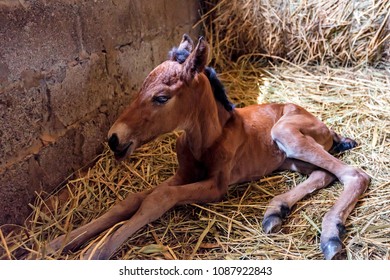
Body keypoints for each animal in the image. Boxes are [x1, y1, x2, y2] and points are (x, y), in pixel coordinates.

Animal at [47, 35, 370, 260]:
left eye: (162, 97)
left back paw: (330, 237)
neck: (206, 140)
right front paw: (60, 242)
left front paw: (96, 251)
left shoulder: (217, 186)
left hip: (286, 133)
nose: (114, 138)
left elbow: (158, 198)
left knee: (353, 174)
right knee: (322, 175)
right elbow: (132, 200)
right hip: (289, 158)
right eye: (139, 89)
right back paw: (275, 212)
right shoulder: (184, 174)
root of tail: (326, 126)